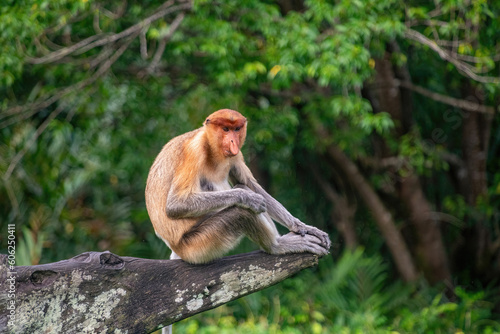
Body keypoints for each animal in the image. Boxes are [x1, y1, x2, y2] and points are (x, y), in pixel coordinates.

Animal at [145, 108, 332, 264]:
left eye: (236, 129)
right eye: (225, 129)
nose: (232, 142)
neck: (210, 145)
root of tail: (176, 249)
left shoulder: (235, 154)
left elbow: (250, 184)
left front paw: (301, 226)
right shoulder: (194, 150)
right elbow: (175, 205)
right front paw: (248, 198)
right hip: (197, 247)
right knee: (242, 213)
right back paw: (277, 245)